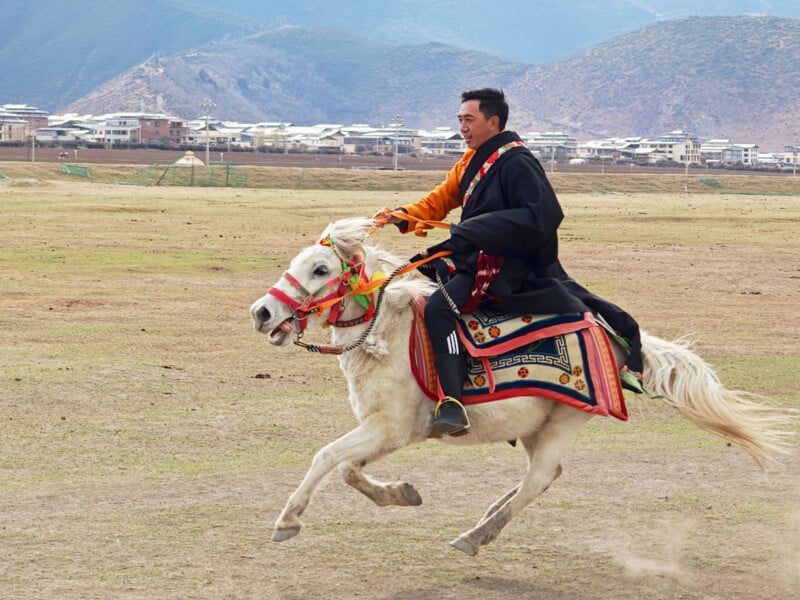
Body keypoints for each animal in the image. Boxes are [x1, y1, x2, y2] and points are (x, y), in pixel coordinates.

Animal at [249, 217, 793, 556]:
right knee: (543, 477)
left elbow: (326, 458)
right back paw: (489, 516)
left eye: (321, 269)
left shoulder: (392, 427)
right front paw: (403, 494)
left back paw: (476, 534)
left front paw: (286, 522)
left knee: (539, 479)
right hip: (538, 424)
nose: (262, 313)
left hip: (565, 420)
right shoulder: (390, 432)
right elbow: (348, 470)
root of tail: (610, 334)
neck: (388, 331)